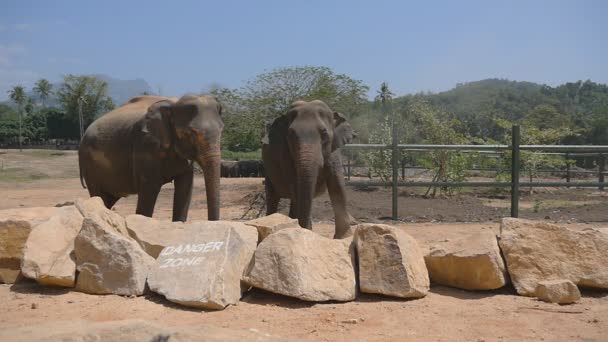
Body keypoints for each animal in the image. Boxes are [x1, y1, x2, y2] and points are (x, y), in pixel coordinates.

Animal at [78, 95, 224, 220]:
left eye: (221, 131)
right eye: (190, 133)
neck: (173, 104)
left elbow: (185, 186)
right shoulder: (145, 146)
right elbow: (150, 188)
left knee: (108, 199)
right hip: (90, 167)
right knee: (99, 195)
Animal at [262, 99, 356, 238]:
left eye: (324, 134)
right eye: (290, 135)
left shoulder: (334, 151)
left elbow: (337, 185)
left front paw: (343, 237)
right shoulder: (285, 155)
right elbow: (296, 186)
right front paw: (306, 232)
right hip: (268, 170)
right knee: (273, 197)